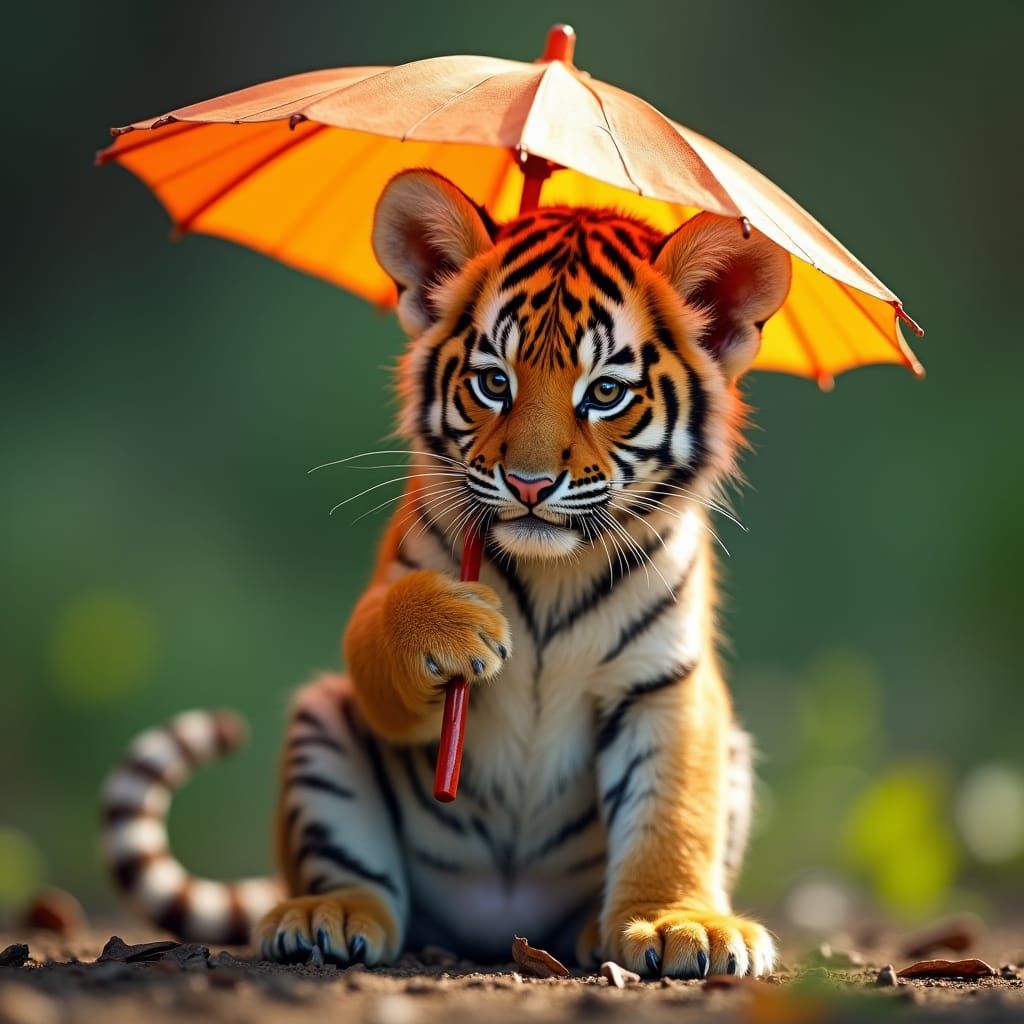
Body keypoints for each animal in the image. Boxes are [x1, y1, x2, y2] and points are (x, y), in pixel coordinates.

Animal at [101, 167, 792, 978]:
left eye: (605, 393)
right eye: (494, 382)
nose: (529, 484)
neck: (551, 574)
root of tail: (500, 923)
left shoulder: (663, 684)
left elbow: (674, 815)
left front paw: (679, 924)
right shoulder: (377, 627)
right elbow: (382, 629)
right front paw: (454, 628)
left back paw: (592, 935)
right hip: (322, 727)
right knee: (353, 874)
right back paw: (327, 915)